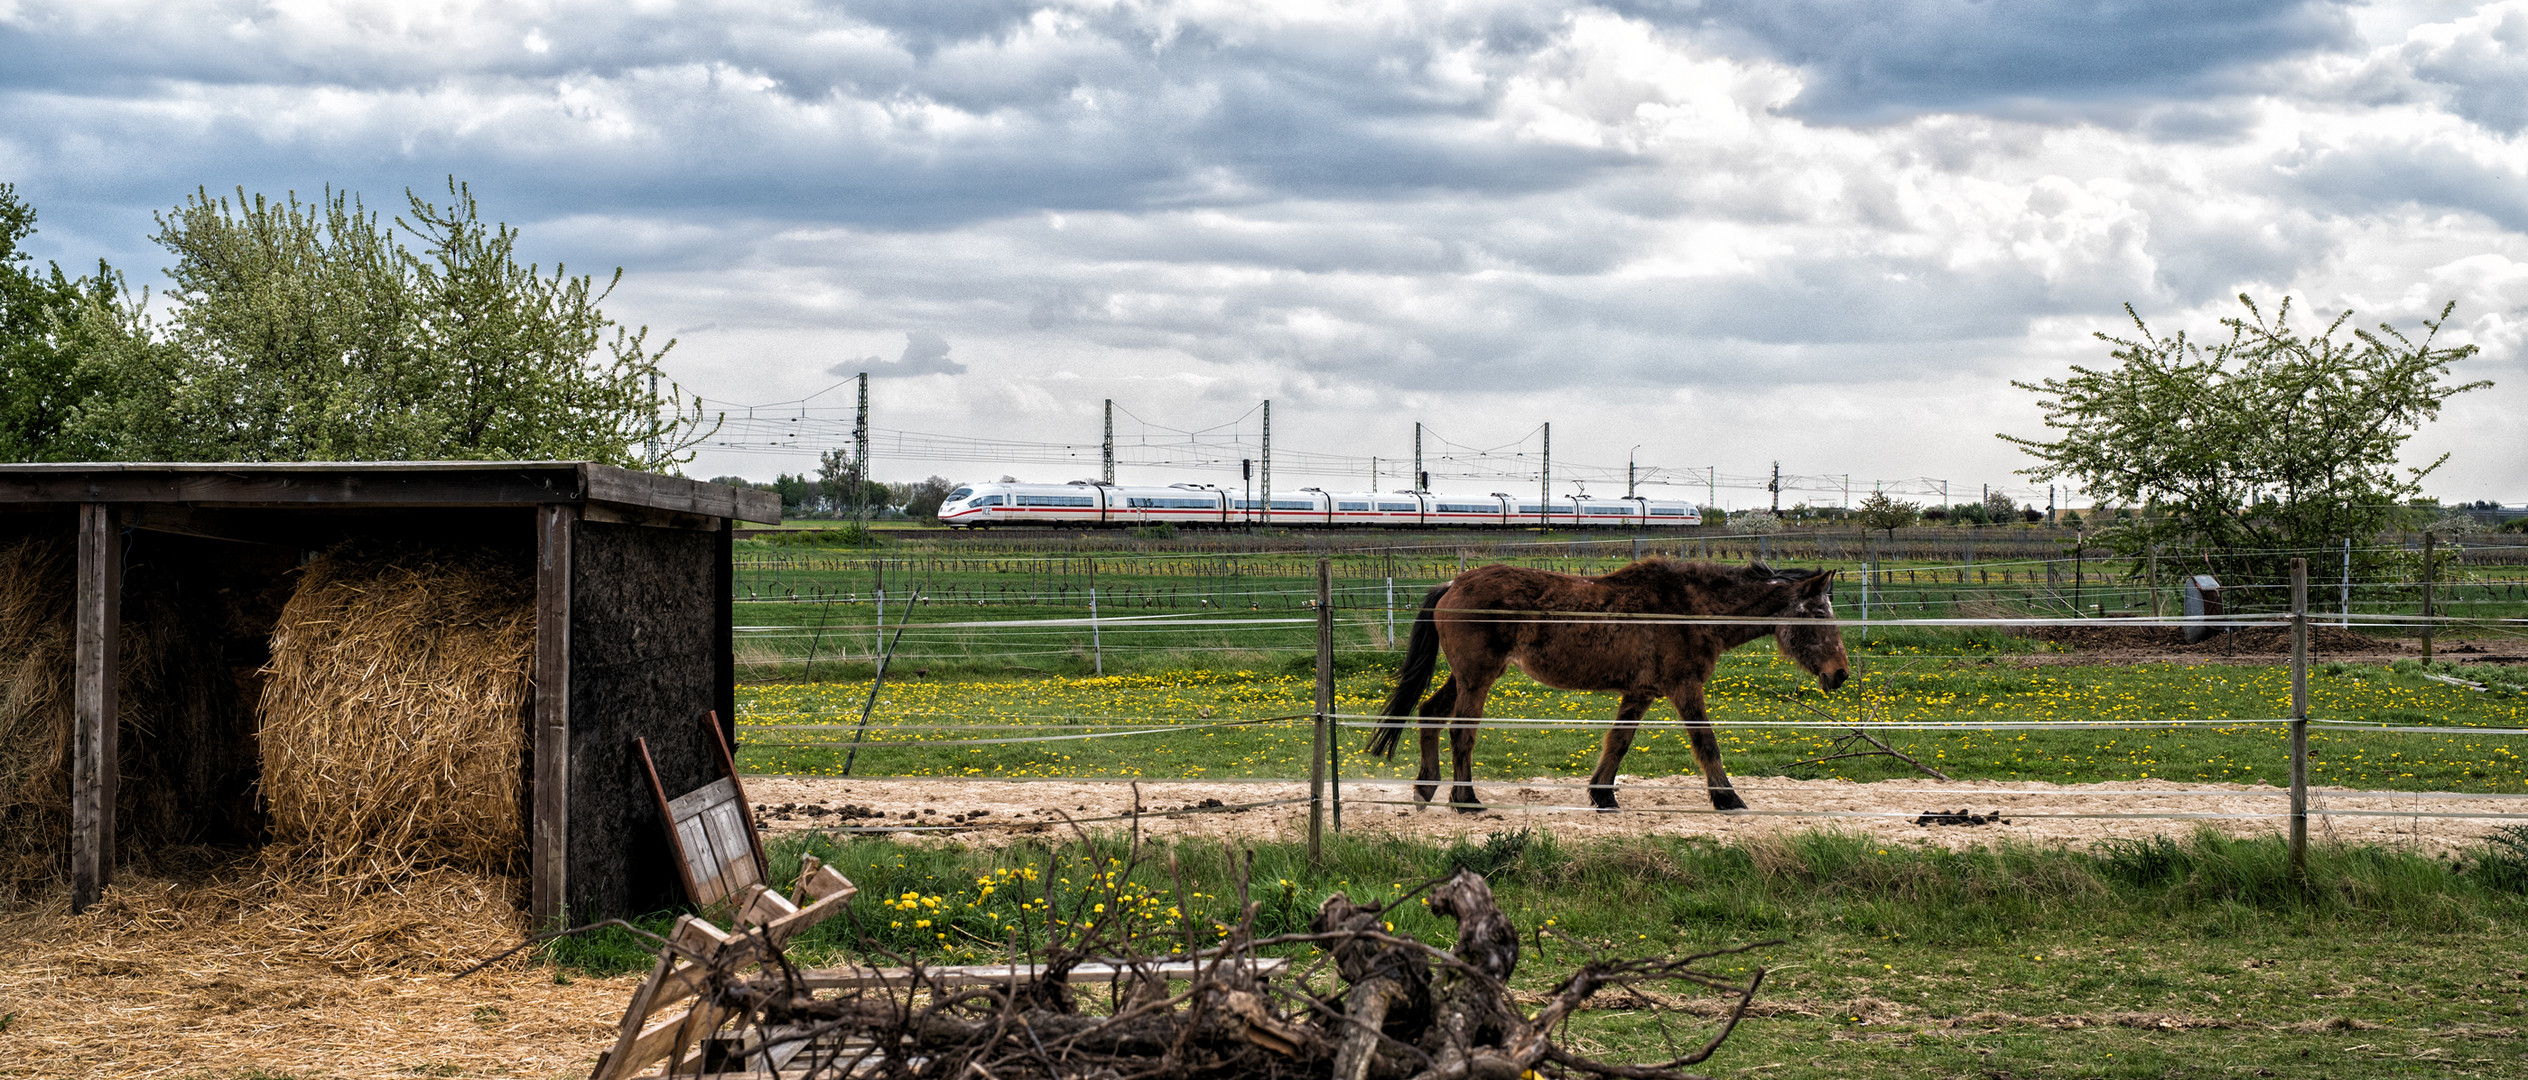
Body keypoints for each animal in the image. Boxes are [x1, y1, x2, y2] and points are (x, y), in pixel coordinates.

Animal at [1375, 566, 1850, 809]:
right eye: (1819, 615)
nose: (1840, 672)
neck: (1690, 607)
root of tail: (1453, 584)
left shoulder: (1641, 693)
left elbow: (1618, 742)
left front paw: (1602, 794)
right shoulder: (1684, 687)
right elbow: (1706, 743)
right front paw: (1727, 797)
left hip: (1465, 677)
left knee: (1430, 715)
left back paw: (1426, 789)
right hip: (1478, 679)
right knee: (1461, 732)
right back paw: (1465, 799)